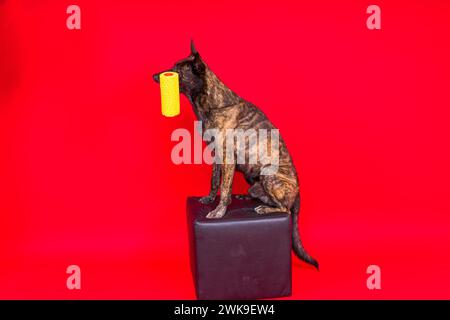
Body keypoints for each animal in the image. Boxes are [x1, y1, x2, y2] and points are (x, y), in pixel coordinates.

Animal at [155, 41, 320, 268]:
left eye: (177, 71)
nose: (154, 76)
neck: (212, 102)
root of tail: (298, 193)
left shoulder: (228, 158)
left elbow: (225, 189)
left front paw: (219, 211)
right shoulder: (216, 155)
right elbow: (214, 181)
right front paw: (209, 199)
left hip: (269, 175)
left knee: (284, 209)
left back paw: (264, 209)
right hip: (255, 180)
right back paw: (249, 197)